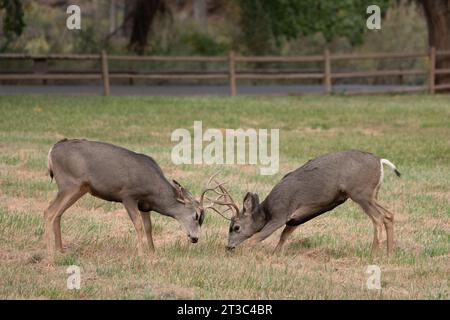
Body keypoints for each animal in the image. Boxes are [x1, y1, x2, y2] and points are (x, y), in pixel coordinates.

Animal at [44, 139, 206, 258]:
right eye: (196, 216)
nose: (195, 238)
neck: (153, 191)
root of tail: (52, 149)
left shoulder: (144, 205)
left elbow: (148, 227)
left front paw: (152, 250)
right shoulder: (128, 195)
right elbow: (138, 224)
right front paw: (141, 254)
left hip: (79, 188)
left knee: (58, 213)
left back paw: (60, 250)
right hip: (69, 184)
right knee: (49, 212)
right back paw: (51, 253)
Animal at [204, 149, 400, 256]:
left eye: (235, 227)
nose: (228, 246)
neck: (266, 211)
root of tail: (380, 161)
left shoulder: (281, 212)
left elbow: (258, 237)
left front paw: (245, 251)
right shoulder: (297, 217)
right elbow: (285, 235)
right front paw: (276, 254)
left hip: (360, 192)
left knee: (378, 218)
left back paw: (373, 254)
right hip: (372, 194)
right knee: (389, 214)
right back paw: (389, 253)